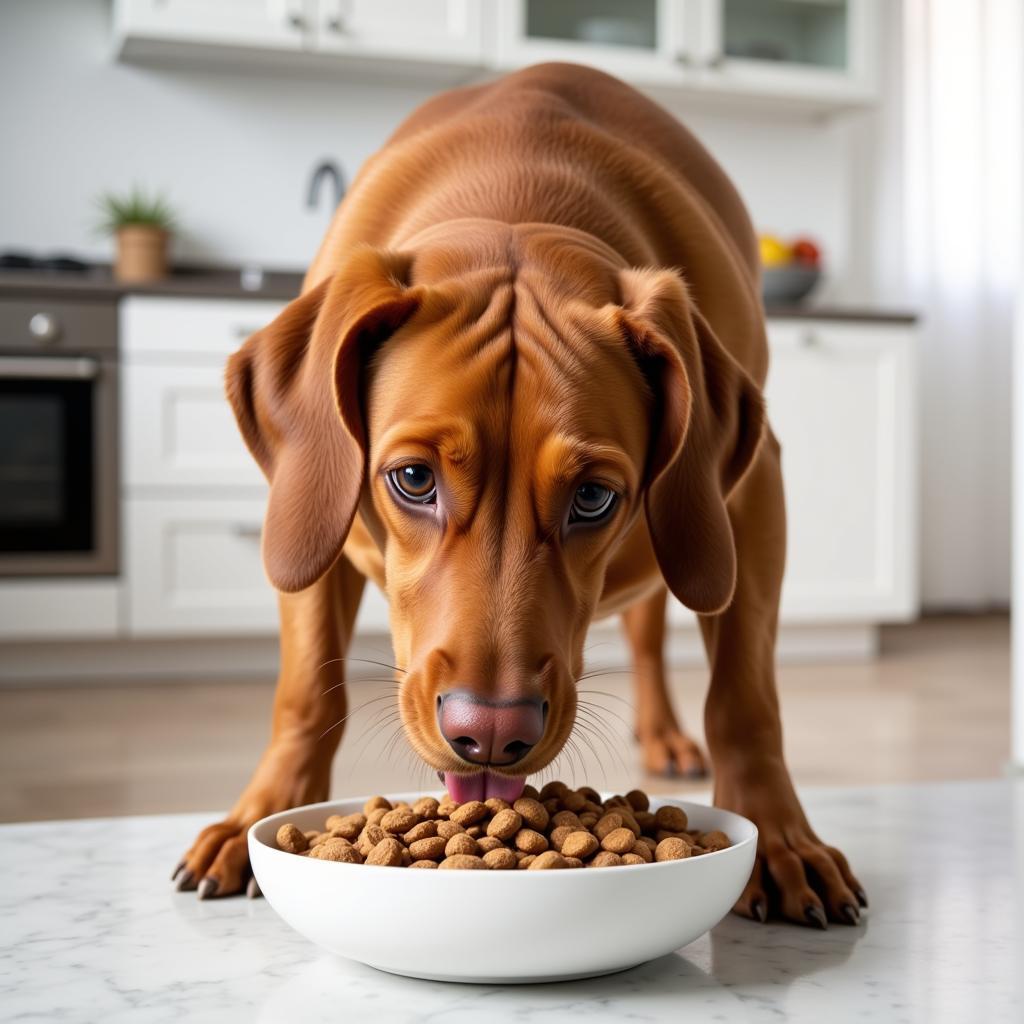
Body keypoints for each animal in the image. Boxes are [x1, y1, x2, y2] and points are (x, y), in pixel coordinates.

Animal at [174, 64, 864, 929]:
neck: (516, 200)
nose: (491, 735)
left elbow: (745, 696)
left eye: (594, 497)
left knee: (650, 632)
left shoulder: (747, 497)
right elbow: (304, 693)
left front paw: (778, 838)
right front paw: (256, 819)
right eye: (413, 480)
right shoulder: (310, 507)